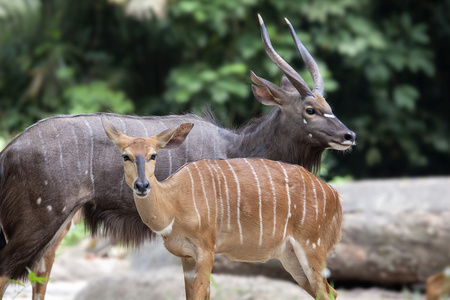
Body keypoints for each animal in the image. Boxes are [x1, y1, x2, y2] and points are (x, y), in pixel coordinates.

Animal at [102, 117, 342, 300]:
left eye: (153, 155)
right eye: (125, 156)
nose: (142, 185)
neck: (175, 202)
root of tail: (334, 195)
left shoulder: (206, 251)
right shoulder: (187, 257)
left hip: (312, 248)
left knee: (328, 293)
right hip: (291, 258)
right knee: (329, 292)